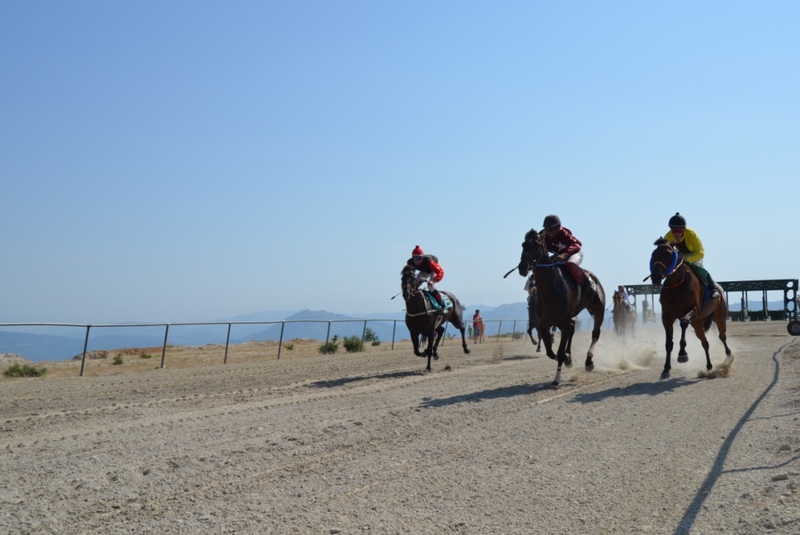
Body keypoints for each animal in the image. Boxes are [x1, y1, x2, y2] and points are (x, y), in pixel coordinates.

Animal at [520, 228, 608, 388]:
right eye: (523, 244)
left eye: (536, 244)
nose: (522, 267)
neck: (550, 291)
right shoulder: (543, 324)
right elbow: (551, 353)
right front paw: (567, 359)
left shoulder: (562, 322)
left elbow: (559, 353)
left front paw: (557, 379)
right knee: (573, 327)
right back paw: (570, 357)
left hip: (598, 310)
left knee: (595, 334)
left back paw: (588, 362)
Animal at [648, 239, 732, 382]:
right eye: (654, 254)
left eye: (669, 254)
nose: (656, 276)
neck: (677, 285)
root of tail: (720, 289)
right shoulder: (667, 317)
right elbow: (668, 343)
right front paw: (666, 370)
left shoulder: (694, 311)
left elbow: (683, 323)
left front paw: (682, 354)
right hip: (698, 324)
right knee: (705, 343)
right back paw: (709, 366)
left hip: (719, 317)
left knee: (722, 336)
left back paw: (728, 357)